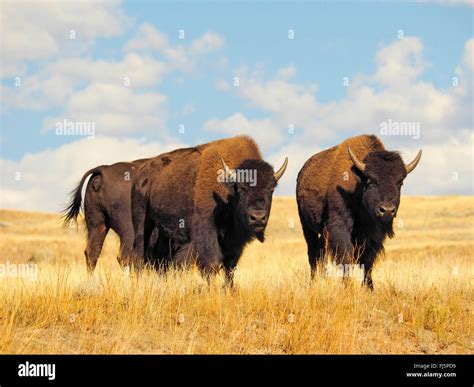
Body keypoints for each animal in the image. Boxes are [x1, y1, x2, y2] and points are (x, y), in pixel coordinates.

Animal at [130, 136, 286, 284]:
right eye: (241, 189)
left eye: (271, 189)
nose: (258, 217)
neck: (227, 192)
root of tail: (141, 174)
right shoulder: (207, 232)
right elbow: (212, 263)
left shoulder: (235, 242)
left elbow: (230, 267)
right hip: (143, 226)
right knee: (139, 256)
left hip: (164, 233)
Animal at [296, 135, 422, 290]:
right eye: (370, 180)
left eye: (400, 182)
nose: (387, 210)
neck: (358, 184)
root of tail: (302, 173)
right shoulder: (340, 228)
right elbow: (346, 257)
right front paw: (347, 286)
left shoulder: (374, 236)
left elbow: (368, 262)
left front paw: (370, 288)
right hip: (307, 226)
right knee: (313, 254)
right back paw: (313, 282)